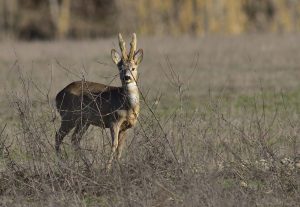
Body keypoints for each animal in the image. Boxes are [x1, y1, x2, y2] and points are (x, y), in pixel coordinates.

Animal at [55, 32, 144, 168]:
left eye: (133, 68)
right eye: (120, 68)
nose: (127, 77)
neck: (128, 106)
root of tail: (58, 96)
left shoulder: (126, 126)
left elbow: (120, 149)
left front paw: (119, 167)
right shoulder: (113, 121)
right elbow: (114, 146)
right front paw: (107, 168)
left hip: (83, 121)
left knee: (75, 139)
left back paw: (84, 163)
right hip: (68, 116)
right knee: (58, 136)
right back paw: (62, 162)